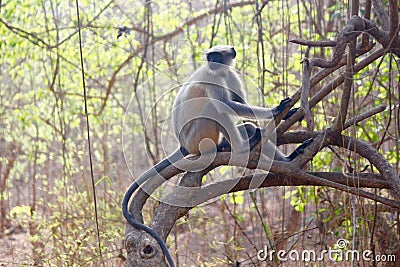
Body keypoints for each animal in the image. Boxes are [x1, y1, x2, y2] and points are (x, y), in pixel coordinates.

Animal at [123, 45, 310, 266]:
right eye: (210, 57)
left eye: (217, 56)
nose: (212, 62)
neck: (220, 72)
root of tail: (183, 145)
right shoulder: (214, 79)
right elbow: (227, 105)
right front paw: (276, 109)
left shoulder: (230, 75)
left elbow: (241, 102)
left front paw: (286, 113)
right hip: (197, 136)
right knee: (216, 108)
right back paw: (243, 146)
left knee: (246, 126)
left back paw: (275, 154)